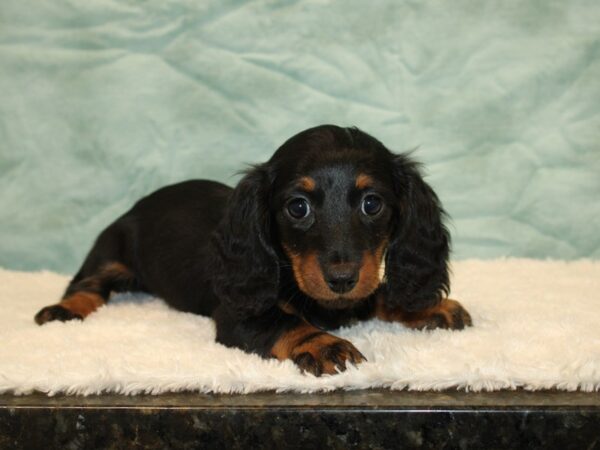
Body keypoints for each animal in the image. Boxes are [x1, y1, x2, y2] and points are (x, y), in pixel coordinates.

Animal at [35, 124, 472, 376]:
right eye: (298, 207)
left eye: (372, 203)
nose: (341, 280)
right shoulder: (237, 317)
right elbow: (285, 322)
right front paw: (323, 343)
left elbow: (378, 295)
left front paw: (428, 308)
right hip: (110, 248)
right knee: (87, 284)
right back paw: (64, 310)